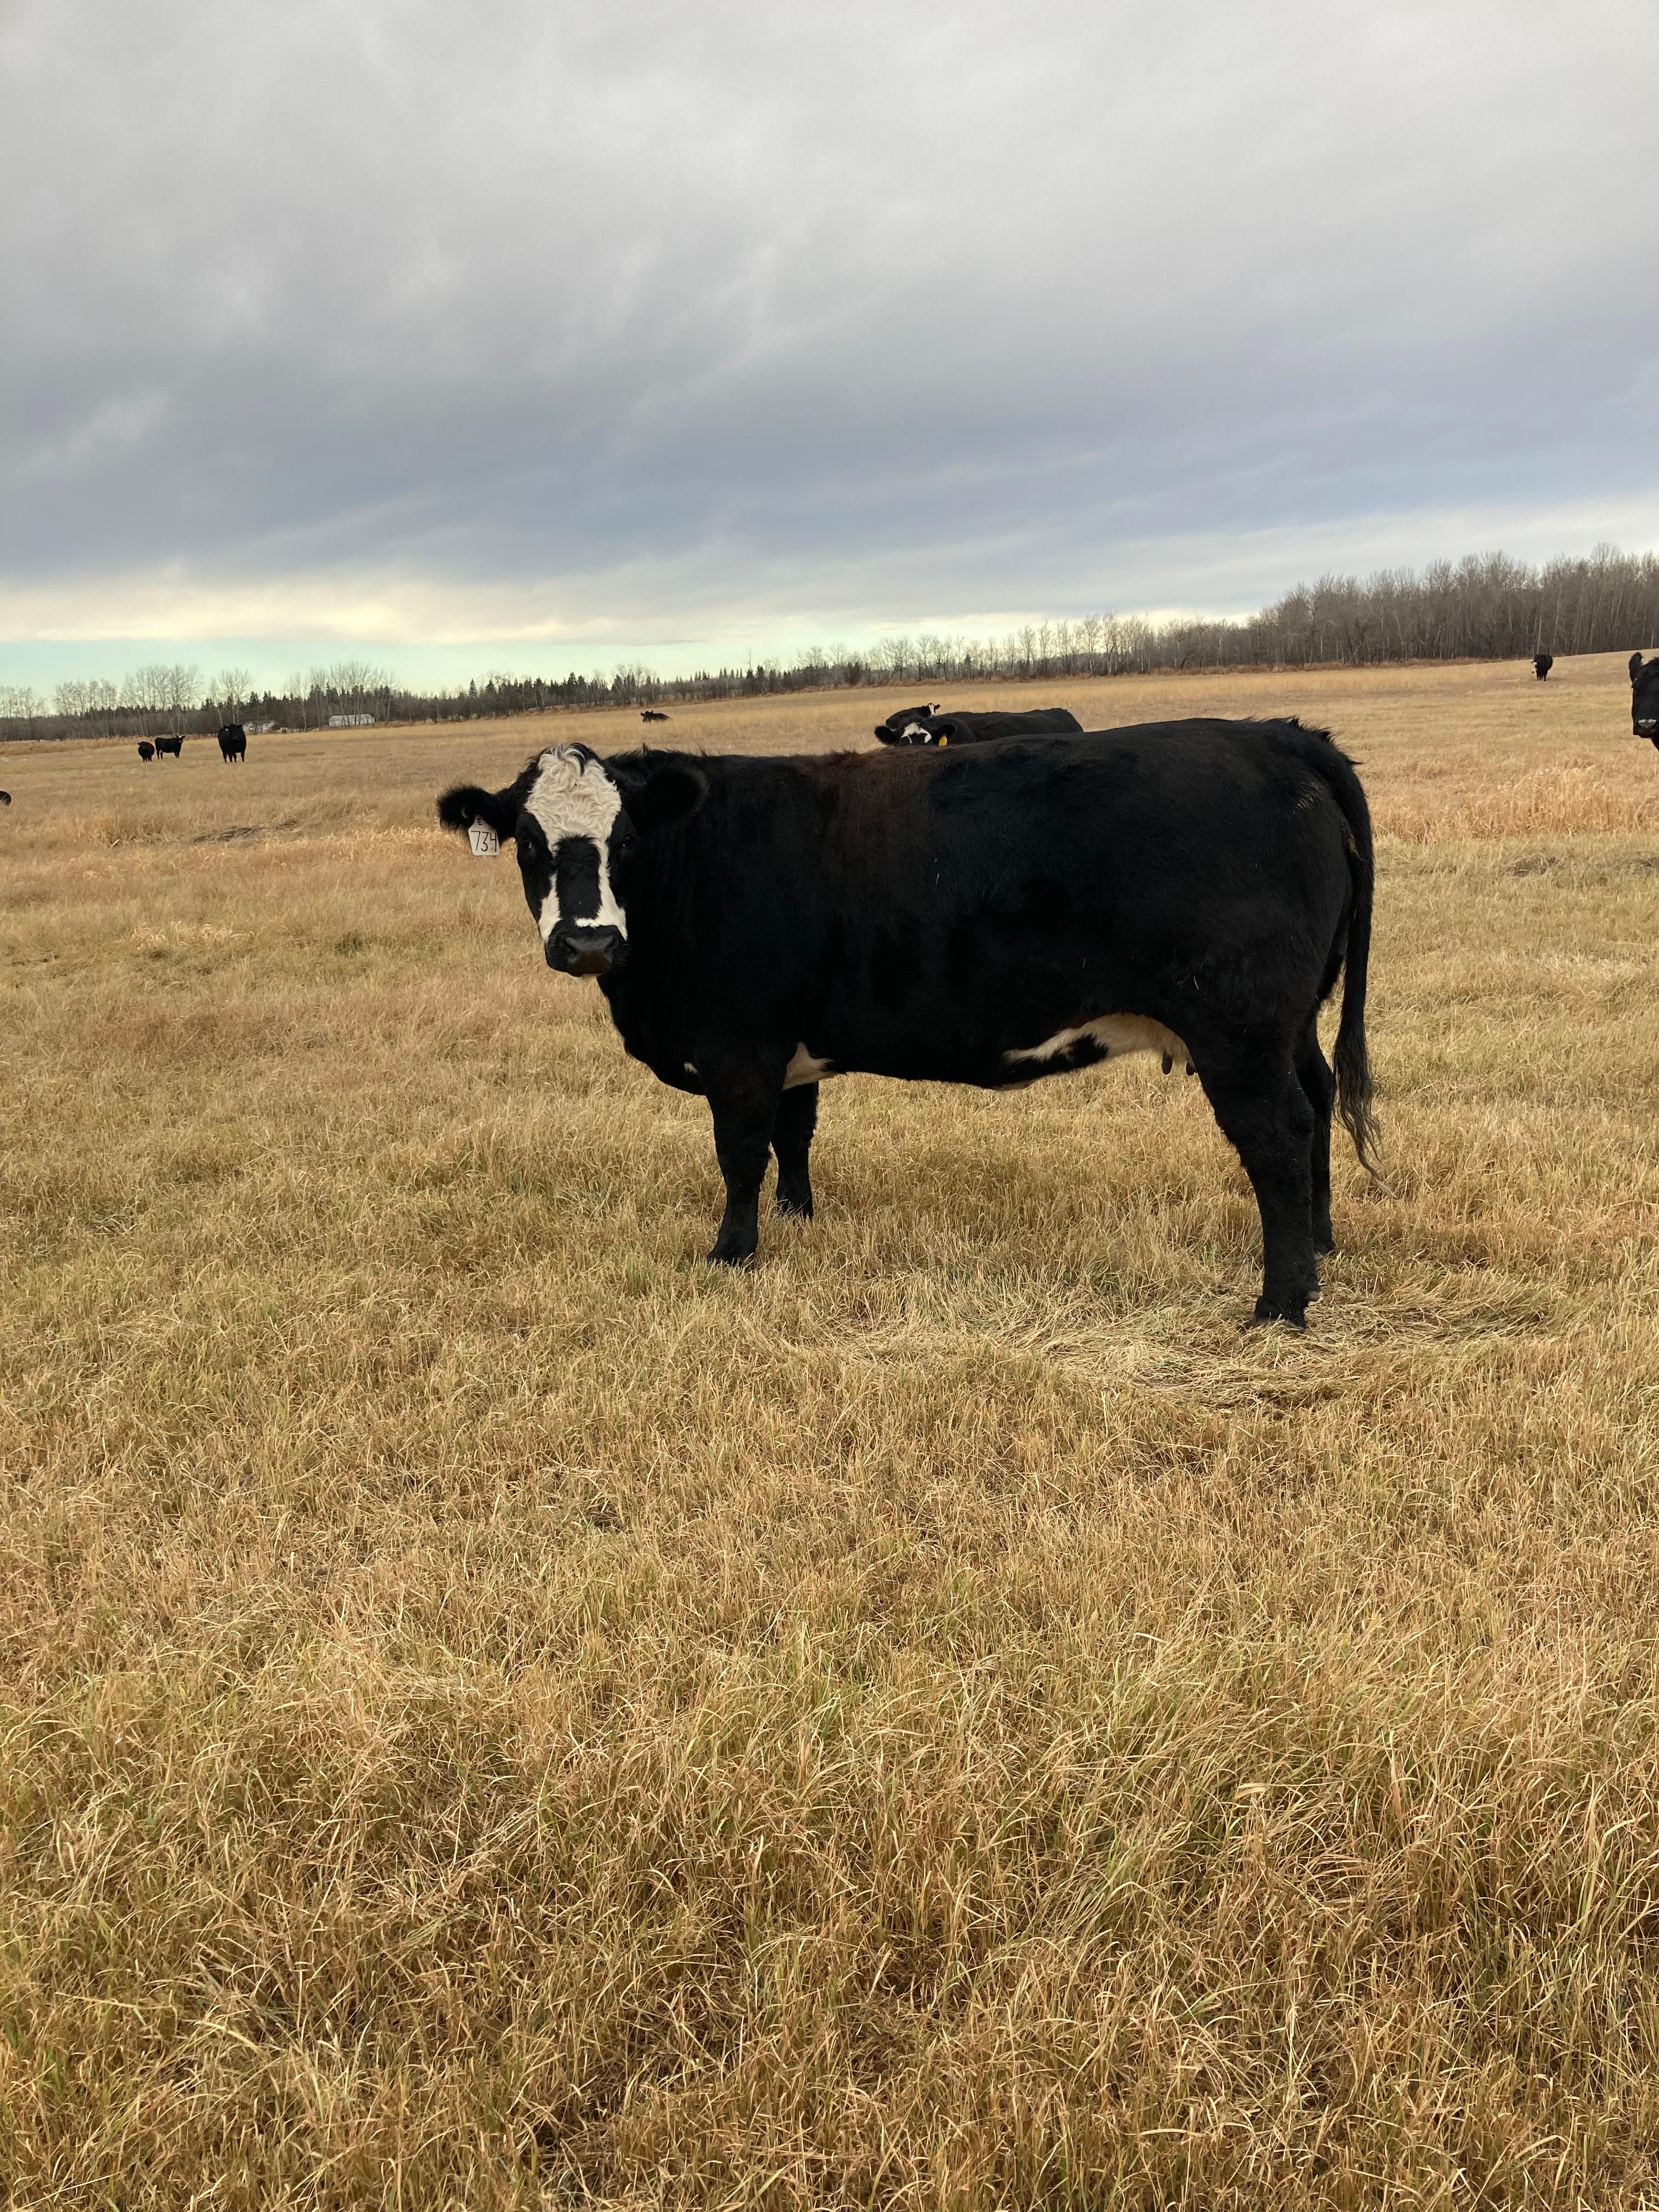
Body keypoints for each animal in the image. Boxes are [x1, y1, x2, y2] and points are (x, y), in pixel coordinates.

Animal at [436, 719, 1377, 1327]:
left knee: (1279, 1138)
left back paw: (1280, 1304)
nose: (587, 941)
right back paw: (1324, 1247)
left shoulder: (739, 1046)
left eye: (626, 842)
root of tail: (1272, 734)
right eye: (527, 842)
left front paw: (732, 1252)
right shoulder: (790, 1045)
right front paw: (797, 1217)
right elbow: (794, 1134)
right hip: (1290, 1024)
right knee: (1319, 1097)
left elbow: (740, 1152)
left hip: (1240, 1034)